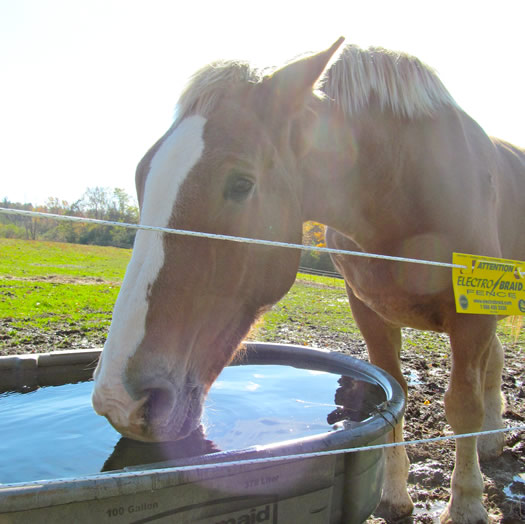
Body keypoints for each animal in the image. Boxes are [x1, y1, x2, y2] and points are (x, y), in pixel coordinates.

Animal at [91, 37, 524, 524]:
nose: (119, 401)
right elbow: (396, 398)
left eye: (241, 183)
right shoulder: (369, 312)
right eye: (141, 176)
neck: (405, 187)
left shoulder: (472, 316)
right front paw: (395, 493)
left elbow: (462, 408)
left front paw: (466, 504)